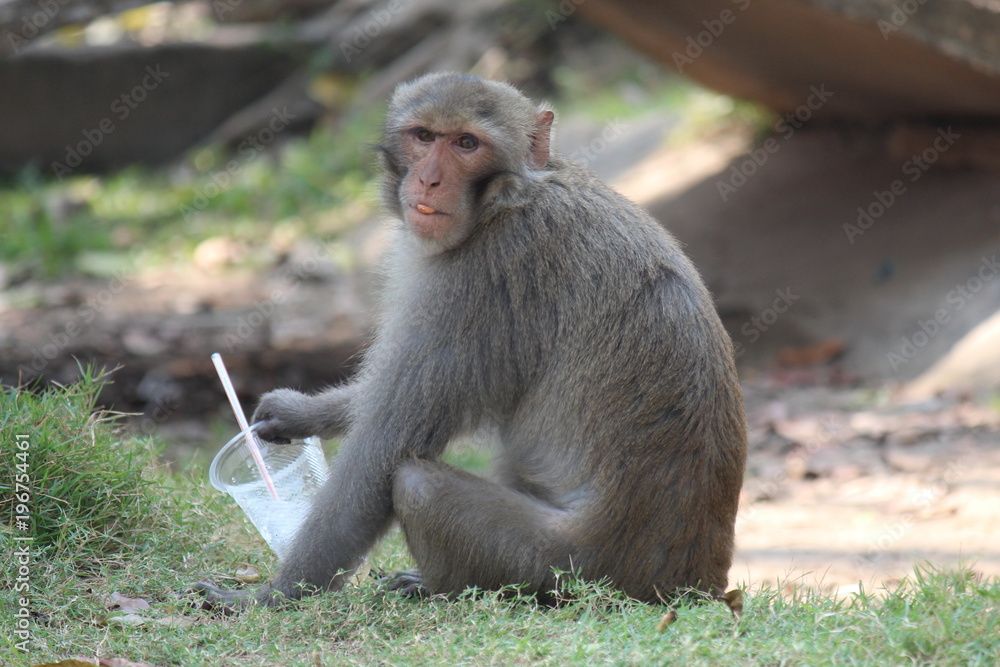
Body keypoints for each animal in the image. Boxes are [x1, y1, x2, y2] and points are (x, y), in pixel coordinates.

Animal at [194, 72, 747, 610]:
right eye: (424, 137)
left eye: (466, 143)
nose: (429, 179)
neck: (510, 198)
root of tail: (696, 582)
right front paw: (296, 413)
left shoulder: (482, 275)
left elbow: (383, 447)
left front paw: (270, 596)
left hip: (567, 567)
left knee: (417, 484)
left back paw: (440, 587)